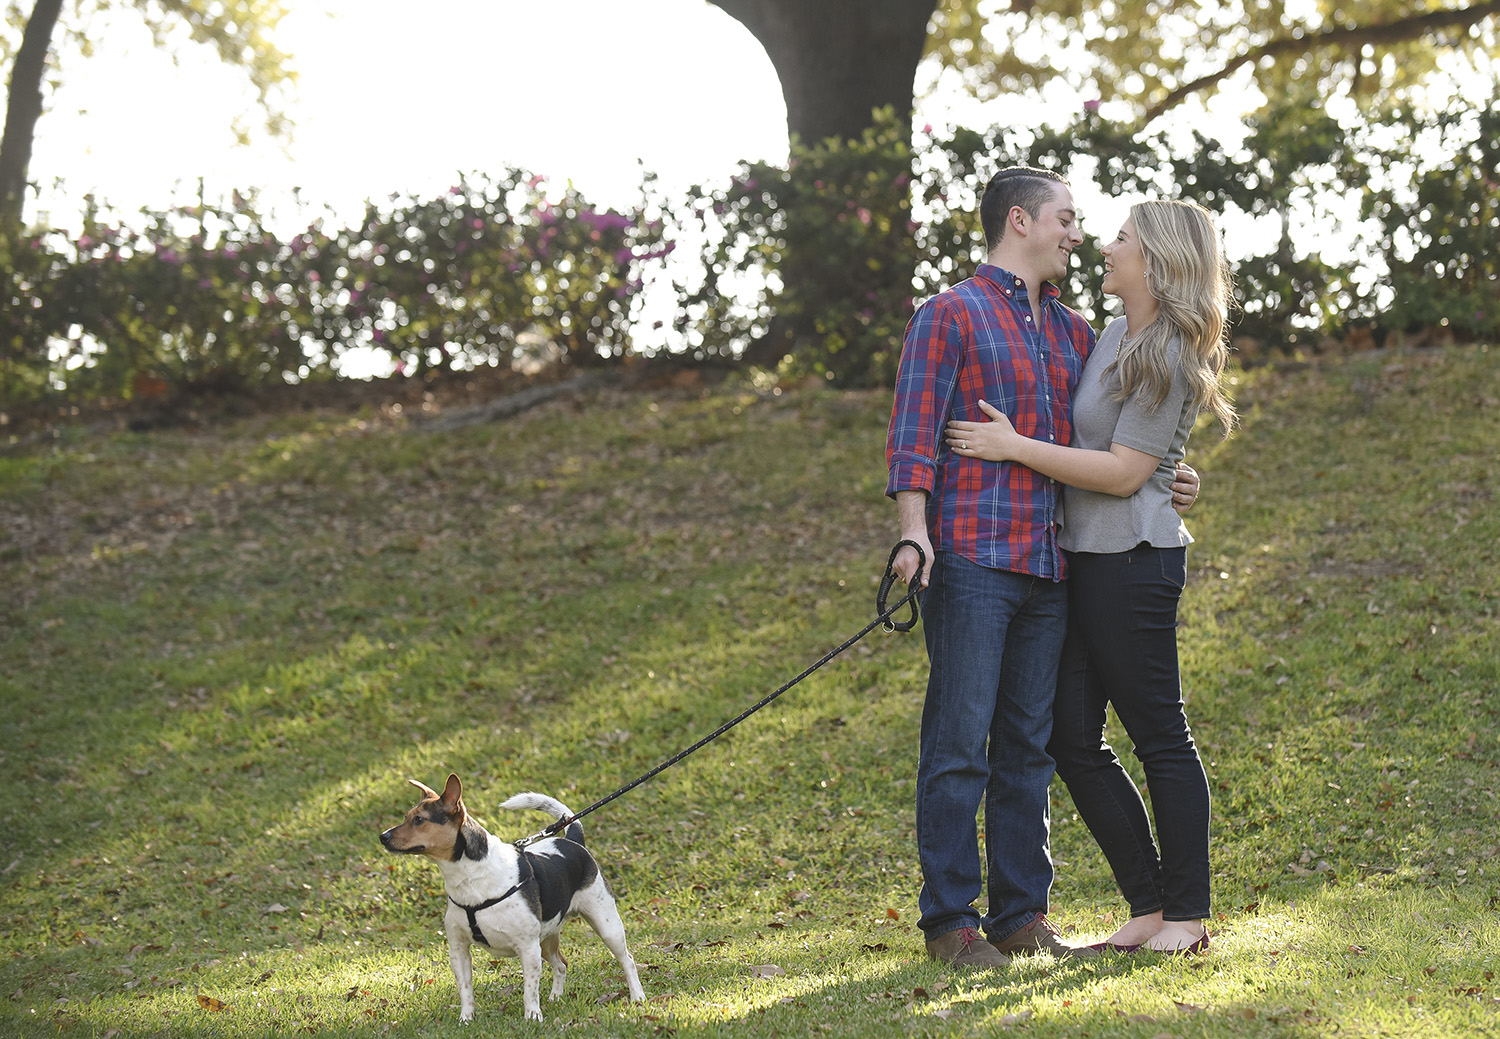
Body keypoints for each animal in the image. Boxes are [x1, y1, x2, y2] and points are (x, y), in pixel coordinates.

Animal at [378, 767, 642, 1019]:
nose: (383, 836)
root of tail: (574, 841)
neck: (471, 877)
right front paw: (466, 1019)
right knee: (561, 965)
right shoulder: (458, 950)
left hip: (606, 926)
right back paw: (556, 998)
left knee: (627, 960)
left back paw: (637, 997)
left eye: (419, 820)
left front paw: (532, 1017)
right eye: (406, 817)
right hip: (547, 937)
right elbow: (465, 990)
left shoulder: (528, 948)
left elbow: (529, 989)